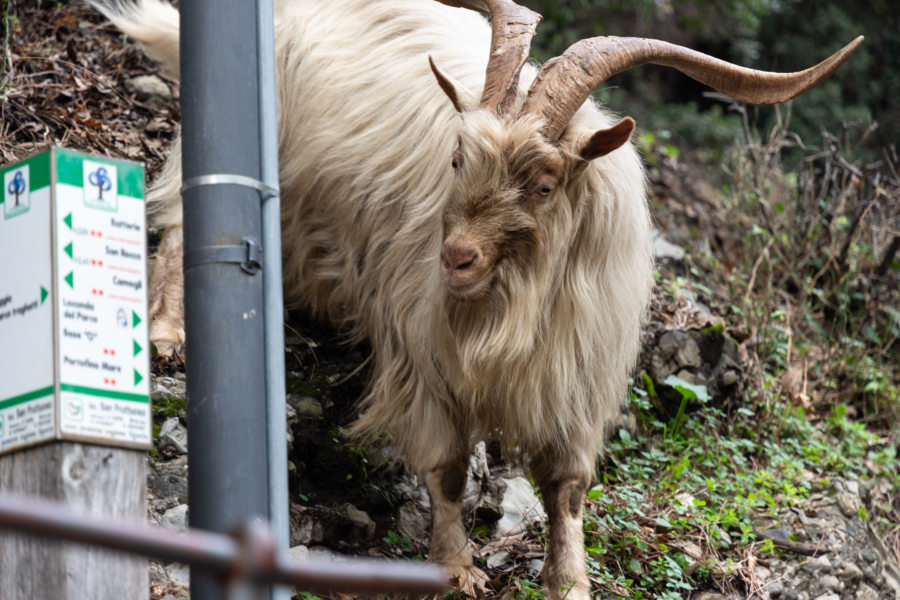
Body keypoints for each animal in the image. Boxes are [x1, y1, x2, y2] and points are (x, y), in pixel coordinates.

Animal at [93, 2, 864, 596]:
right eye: (459, 158)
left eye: (545, 183)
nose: (456, 258)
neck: (516, 296)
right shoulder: (424, 348)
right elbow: (447, 466)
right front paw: (456, 567)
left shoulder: (576, 376)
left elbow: (567, 487)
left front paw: (570, 580)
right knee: (183, 222)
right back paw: (168, 335)